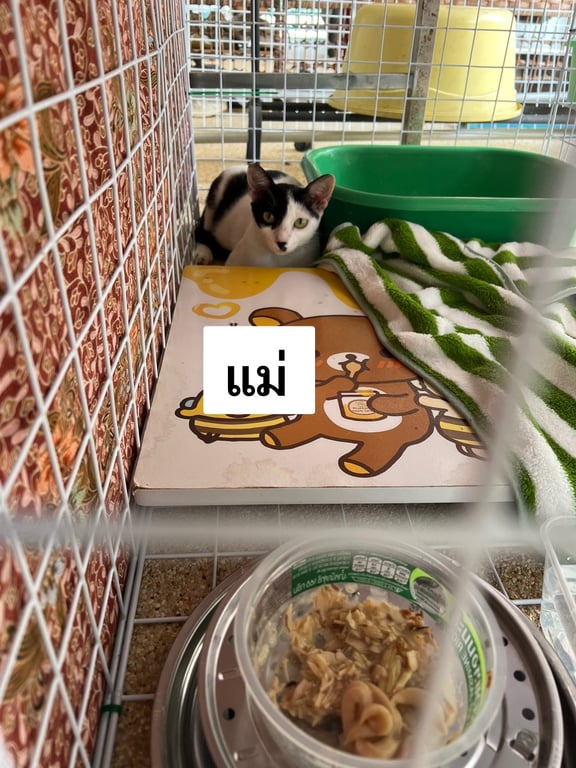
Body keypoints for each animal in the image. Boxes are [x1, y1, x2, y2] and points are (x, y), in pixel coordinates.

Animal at [193, 163, 335, 267]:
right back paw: (202, 252)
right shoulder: (234, 262)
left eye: (300, 222)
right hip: (216, 195)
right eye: (268, 216)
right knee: (199, 228)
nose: (281, 242)